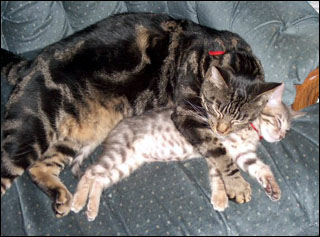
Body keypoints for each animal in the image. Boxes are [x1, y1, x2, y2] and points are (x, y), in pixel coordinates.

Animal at [0, 12, 280, 217]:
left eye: (240, 118)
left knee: (39, 168)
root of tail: (30, 63)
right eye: (215, 107)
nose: (222, 128)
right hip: (30, 133)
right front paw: (237, 184)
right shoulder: (187, 114)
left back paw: (61, 196)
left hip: (74, 137)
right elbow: (219, 152)